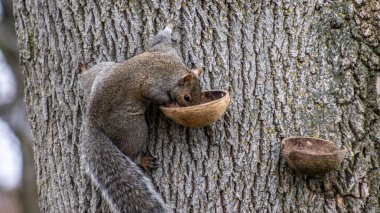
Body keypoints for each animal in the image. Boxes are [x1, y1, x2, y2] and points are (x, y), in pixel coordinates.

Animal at [79, 20, 202, 212]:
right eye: (187, 98)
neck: (174, 68)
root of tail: (92, 118)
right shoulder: (154, 85)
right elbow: (155, 94)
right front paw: (170, 104)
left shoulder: (162, 49)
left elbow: (159, 38)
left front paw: (169, 27)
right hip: (133, 128)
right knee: (131, 151)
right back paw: (143, 160)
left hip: (103, 69)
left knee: (85, 79)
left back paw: (84, 72)